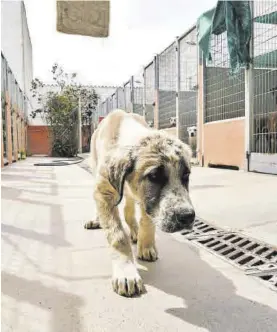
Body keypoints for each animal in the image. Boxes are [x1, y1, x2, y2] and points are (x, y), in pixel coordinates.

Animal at [84, 110, 194, 296]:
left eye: (186, 175)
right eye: (154, 176)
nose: (187, 217)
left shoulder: (147, 201)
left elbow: (147, 221)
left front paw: (146, 246)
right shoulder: (104, 192)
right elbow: (118, 236)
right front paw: (126, 271)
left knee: (128, 211)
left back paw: (136, 232)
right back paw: (97, 220)